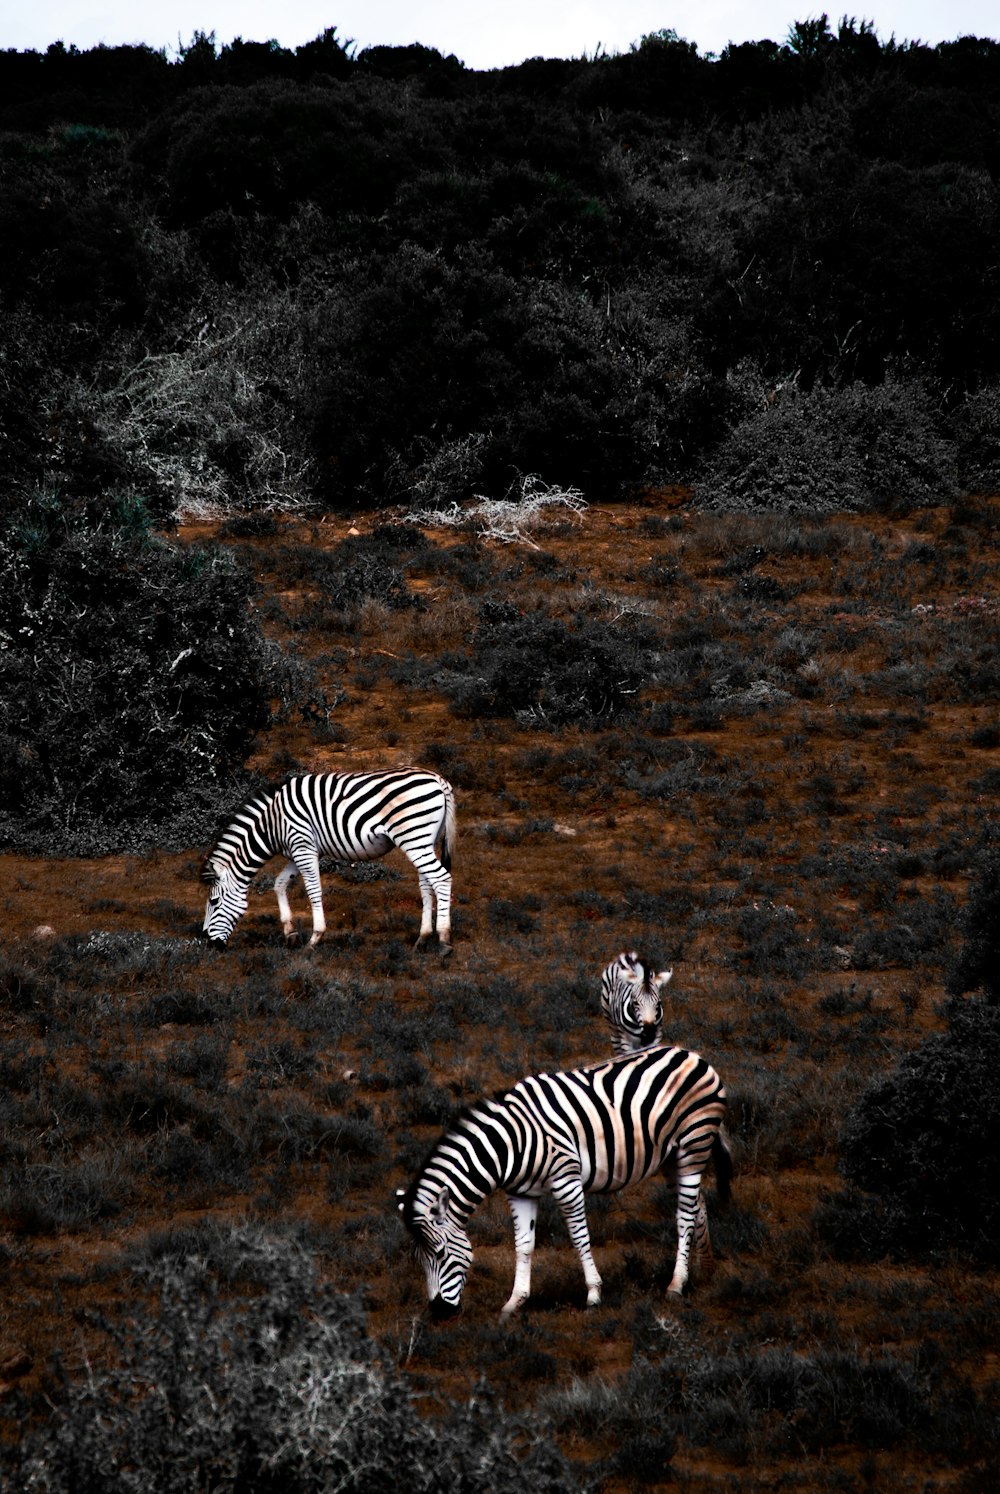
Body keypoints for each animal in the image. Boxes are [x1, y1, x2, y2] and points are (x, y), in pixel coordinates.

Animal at [200, 764, 457, 950]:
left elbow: (313, 891)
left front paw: (315, 939)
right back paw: (423, 939)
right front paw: (291, 934)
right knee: (427, 883)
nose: (209, 943)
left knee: (441, 878)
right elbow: (279, 884)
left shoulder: (303, 846)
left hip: (413, 835)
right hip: (423, 840)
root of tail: (439, 779)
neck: (272, 825)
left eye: (214, 902)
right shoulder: (299, 851)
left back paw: (444, 940)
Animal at [397, 1039, 732, 1320]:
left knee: (684, 1214)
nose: (438, 1312)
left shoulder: (565, 1180)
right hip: (672, 1157)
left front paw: (594, 1294)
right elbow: (524, 1244)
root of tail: (692, 1055)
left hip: (693, 1143)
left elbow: (579, 1236)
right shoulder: (520, 1193)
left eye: (440, 1253)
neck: (510, 1143)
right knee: (697, 1204)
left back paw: (676, 1284)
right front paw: (514, 1302)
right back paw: (704, 1271)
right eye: (417, 1259)